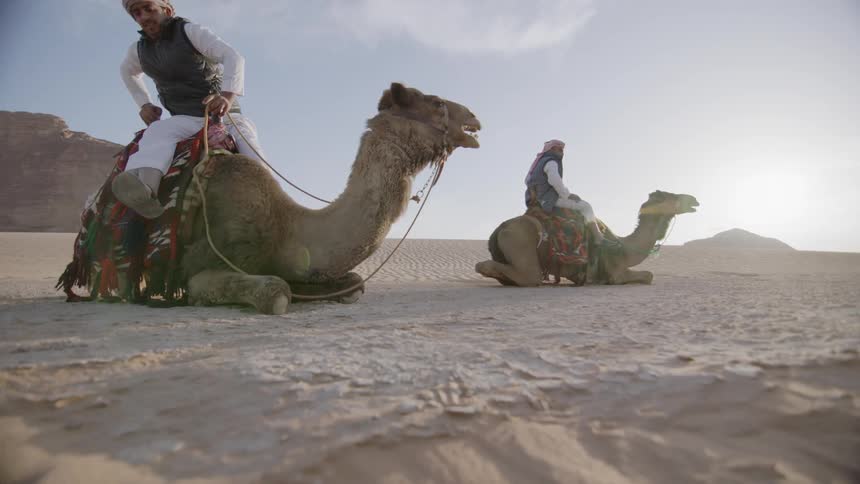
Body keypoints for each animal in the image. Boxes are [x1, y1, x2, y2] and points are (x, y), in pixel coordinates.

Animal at [180, 83, 481, 314]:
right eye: (437, 102)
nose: (474, 118)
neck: (285, 226)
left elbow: (354, 283)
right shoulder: (203, 264)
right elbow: (276, 292)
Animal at [475, 191, 699, 286]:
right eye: (672, 196)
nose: (694, 199)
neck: (624, 247)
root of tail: (500, 229)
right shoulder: (617, 273)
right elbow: (649, 275)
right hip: (524, 249)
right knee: (526, 276)